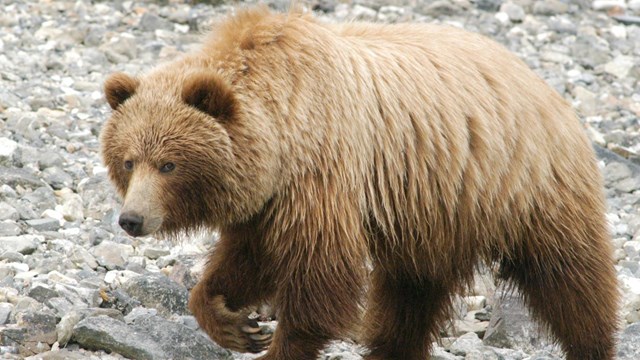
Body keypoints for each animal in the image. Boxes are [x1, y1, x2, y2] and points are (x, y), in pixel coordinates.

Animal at [101, 7, 620, 360]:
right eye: (128, 161)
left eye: (168, 165)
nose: (132, 219)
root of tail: (544, 84)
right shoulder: (268, 200)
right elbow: (245, 261)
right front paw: (236, 324)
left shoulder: (323, 171)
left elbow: (321, 274)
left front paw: (277, 343)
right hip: (435, 211)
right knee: (411, 292)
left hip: (525, 186)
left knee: (570, 278)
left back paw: (592, 343)